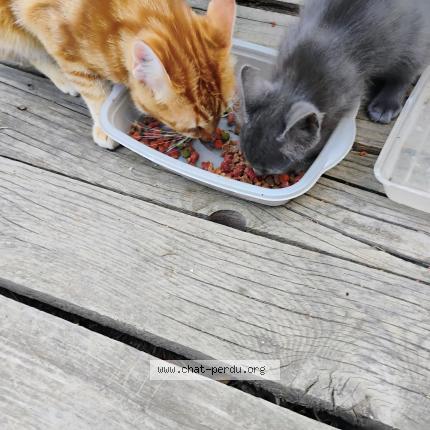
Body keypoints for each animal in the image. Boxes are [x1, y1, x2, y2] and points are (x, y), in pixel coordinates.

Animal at [0, 0, 236, 149]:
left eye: (222, 114)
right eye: (194, 128)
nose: (211, 138)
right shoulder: (61, 46)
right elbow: (94, 92)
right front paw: (105, 129)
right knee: (29, 52)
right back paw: (62, 78)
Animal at [238, 0, 430, 176]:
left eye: (267, 170)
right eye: (249, 161)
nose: (256, 173)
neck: (299, 80)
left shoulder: (341, 100)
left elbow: (323, 136)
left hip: (412, 41)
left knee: (406, 71)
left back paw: (385, 105)